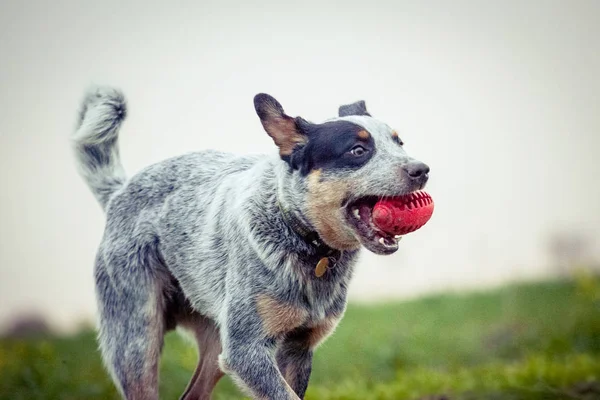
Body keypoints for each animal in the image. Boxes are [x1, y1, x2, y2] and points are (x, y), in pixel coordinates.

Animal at [72, 87, 428, 400]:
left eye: (400, 143)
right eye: (358, 150)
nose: (422, 169)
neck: (302, 239)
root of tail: (120, 190)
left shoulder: (298, 347)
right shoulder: (246, 350)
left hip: (216, 341)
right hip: (137, 340)